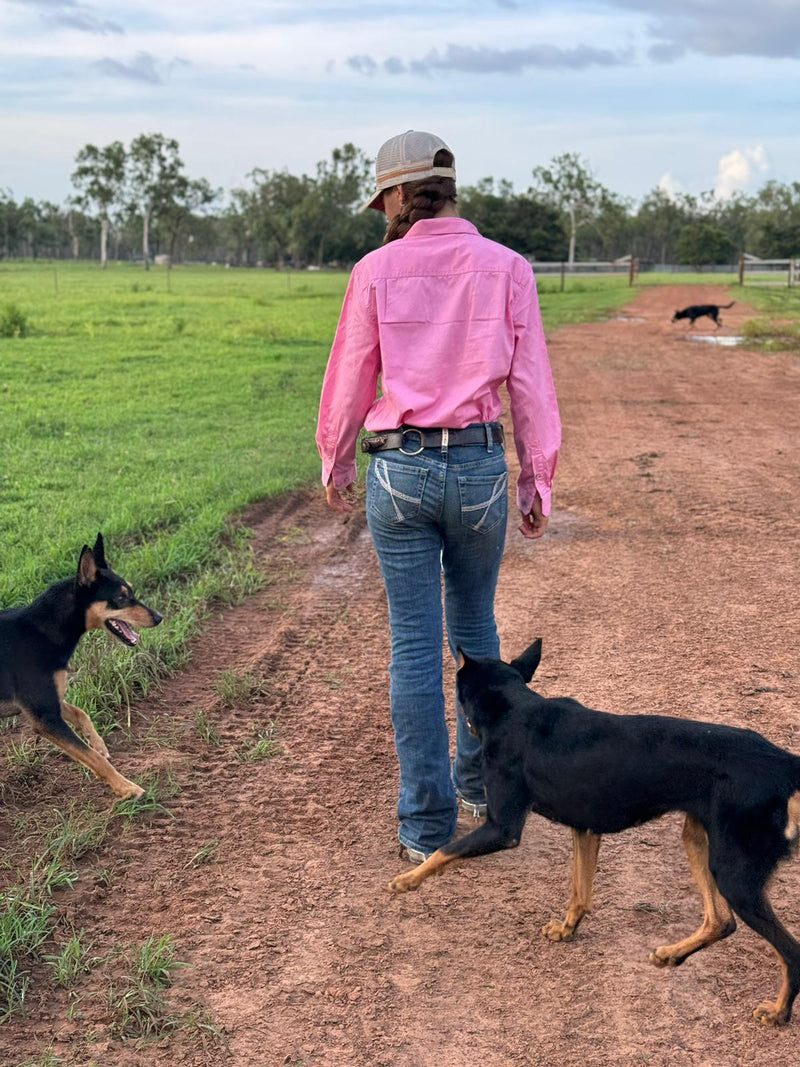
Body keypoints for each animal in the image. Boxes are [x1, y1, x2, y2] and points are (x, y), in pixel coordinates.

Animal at [0, 533, 163, 802]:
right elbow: (93, 758)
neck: (40, 630)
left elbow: (81, 714)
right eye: (121, 598)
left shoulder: (49, 704)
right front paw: (126, 788)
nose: (159, 618)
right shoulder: (46, 717)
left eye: (131, 591)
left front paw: (98, 743)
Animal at [392, 635, 800, 1028]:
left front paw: (407, 880)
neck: (516, 708)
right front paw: (566, 929)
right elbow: (580, 892)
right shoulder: (585, 829)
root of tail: (784, 764)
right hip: (699, 841)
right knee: (721, 920)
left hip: (734, 874)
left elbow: (445, 850)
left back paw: (778, 1013)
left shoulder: (502, 828)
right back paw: (671, 955)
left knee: (789, 950)